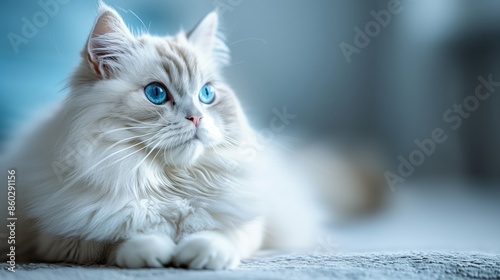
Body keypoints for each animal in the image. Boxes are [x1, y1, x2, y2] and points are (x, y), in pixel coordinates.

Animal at [0, 2, 322, 270]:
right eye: (156, 93)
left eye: (207, 94)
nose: (197, 117)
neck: (166, 182)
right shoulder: (63, 240)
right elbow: (122, 239)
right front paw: (156, 251)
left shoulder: (248, 224)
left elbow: (221, 234)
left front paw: (201, 255)